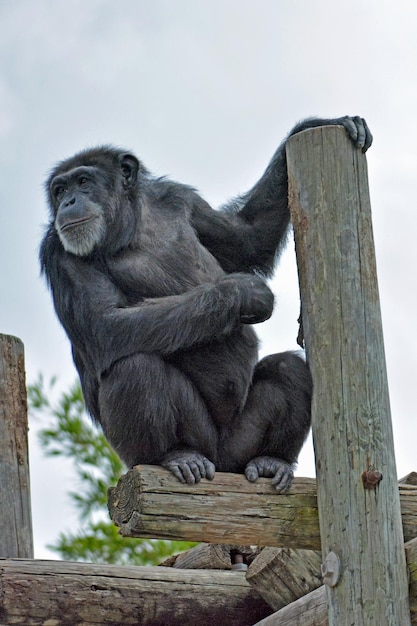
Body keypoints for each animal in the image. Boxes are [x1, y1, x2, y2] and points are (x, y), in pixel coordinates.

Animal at [39, 114, 370, 490]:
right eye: (60, 190)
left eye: (83, 181)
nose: (68, 202)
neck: (129, 226)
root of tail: (221, 463)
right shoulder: (58, 254)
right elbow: (105, 322)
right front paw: (243, 292)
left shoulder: (181, 199)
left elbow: (246, 238)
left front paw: (313, 125)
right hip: (176, 445)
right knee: (136, 368)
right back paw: (176, 455)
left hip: (239, 446)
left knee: (289, 369)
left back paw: (272, 460)